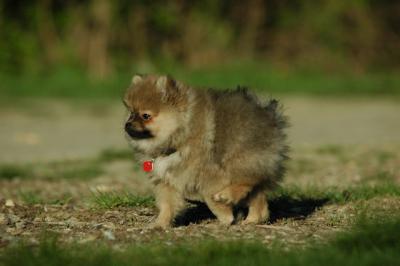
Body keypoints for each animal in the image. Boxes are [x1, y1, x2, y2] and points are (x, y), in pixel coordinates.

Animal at [124, 74, 288, 228]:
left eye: (146, 116)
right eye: (131, 113)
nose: (127, 124)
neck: (180, 136)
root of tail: (270, 116)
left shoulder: (210, 174)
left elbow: (209, 197)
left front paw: (225, 217)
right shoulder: (166, 181)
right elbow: (167, 205)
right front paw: (160, 224)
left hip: (239, 159)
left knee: (249, 181)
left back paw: (227, 195)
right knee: (259, 201)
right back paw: (252, 219)